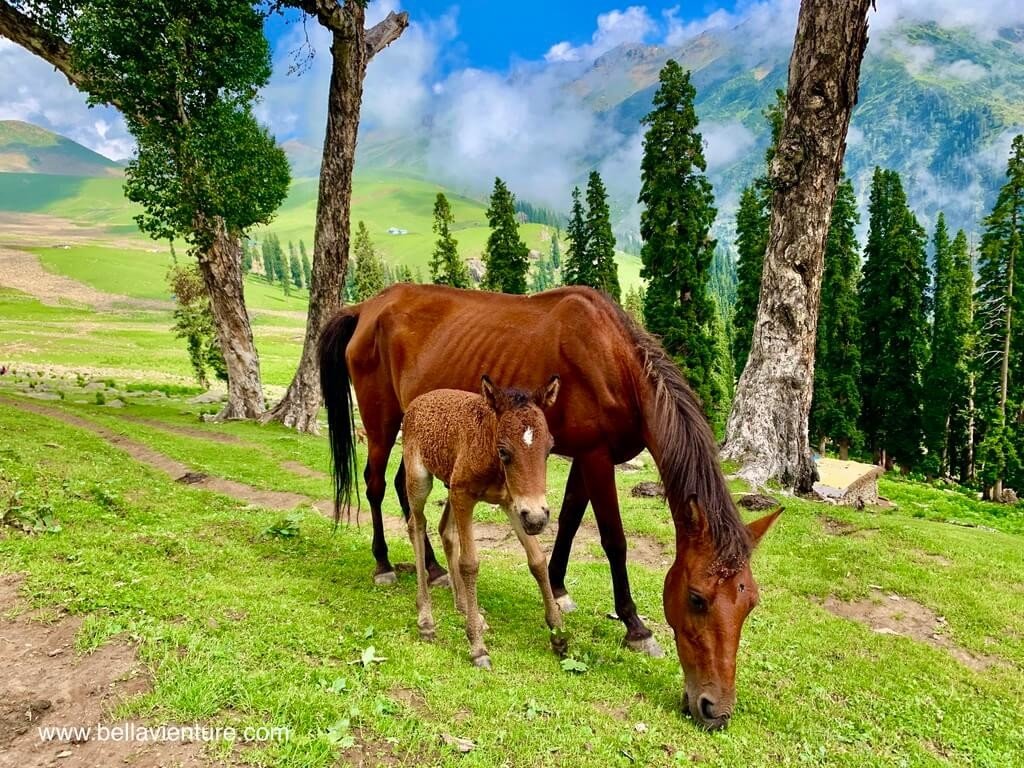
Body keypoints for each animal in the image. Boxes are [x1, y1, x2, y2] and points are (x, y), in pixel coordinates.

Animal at [401, 376, 566, 669]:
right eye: (504, 451)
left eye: (549, 448)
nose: (538, 518)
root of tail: (417, 402)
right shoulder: (465, 495)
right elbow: (469, 564)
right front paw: (477, 647)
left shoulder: (512, 503)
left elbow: (537, 560)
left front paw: (558, 634)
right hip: (420, 478)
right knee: (416, 526)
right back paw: (426, 619)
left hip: (450, 485)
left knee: (445, 530)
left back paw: (466, 608)